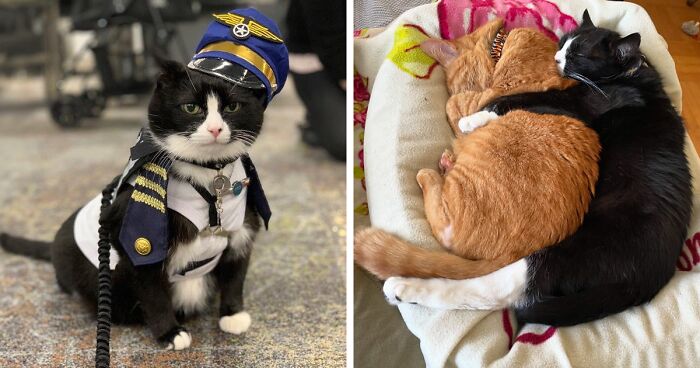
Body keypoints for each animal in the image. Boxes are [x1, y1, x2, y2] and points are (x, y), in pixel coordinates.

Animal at [356, 18, 600, 278]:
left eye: (457, 86)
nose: (459, 91)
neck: (502, 46)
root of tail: (515, 256)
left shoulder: (486, 97)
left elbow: (453, 105)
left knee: (444, 227)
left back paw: (435, 171)